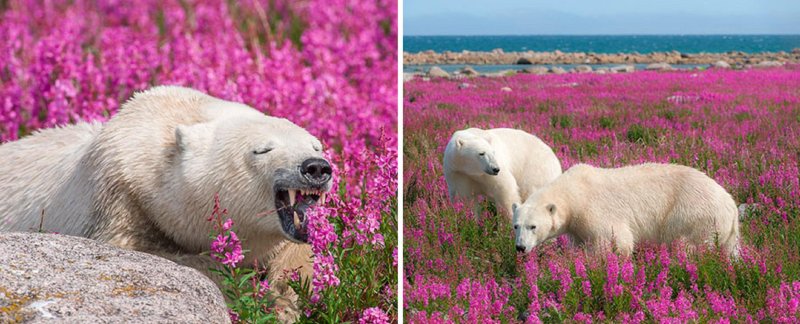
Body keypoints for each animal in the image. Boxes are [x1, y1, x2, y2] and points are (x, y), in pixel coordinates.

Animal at [0, 87, 332, 316]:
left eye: (316, 145)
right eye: (262, 149)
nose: (316, 167)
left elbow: (297, 254)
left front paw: (285, 297)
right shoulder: (118, 198)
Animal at [512, 163, 736, 256]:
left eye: (533, 226)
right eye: (516, 226)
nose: (520, 247)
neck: (574, 192)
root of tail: (731, 204)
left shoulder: (595, 211)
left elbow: (617, 241)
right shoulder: (576, 227)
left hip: (694, 215)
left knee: (689, 245)